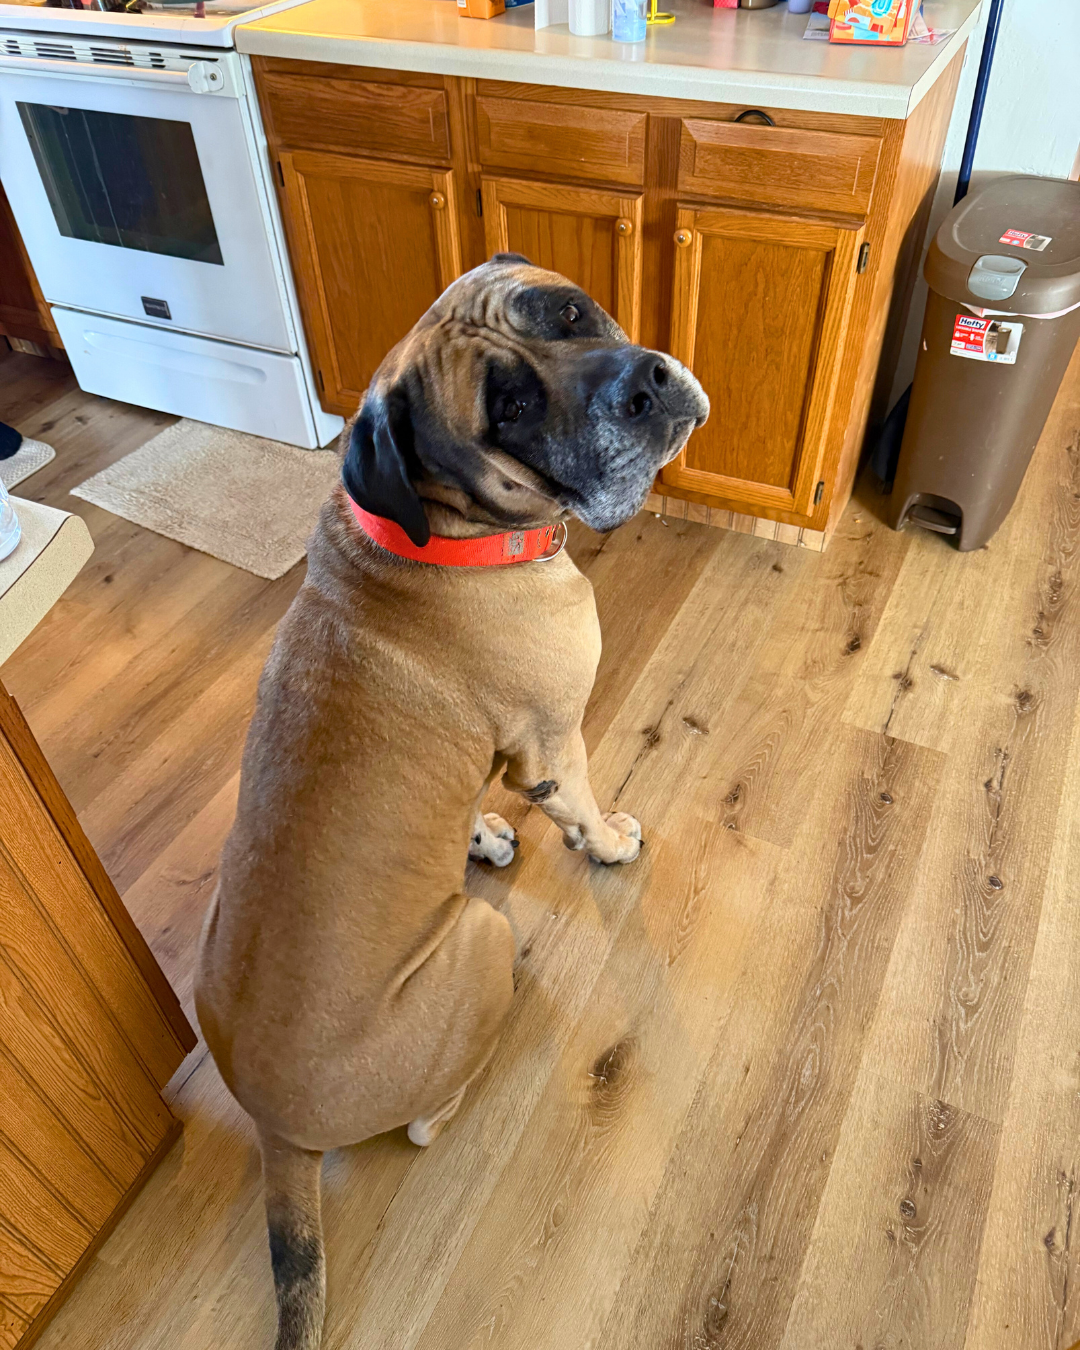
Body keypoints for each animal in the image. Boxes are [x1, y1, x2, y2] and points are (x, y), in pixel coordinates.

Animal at [194, 255, 708, 1350]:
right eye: (506, 407)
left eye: (569, 310)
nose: (642, 385)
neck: (439, 535)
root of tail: (276, 1133)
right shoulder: (557, 744)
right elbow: (584, 811)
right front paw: (610, 843)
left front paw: (479, 832)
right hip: (473, 939)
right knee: (429, 1118)